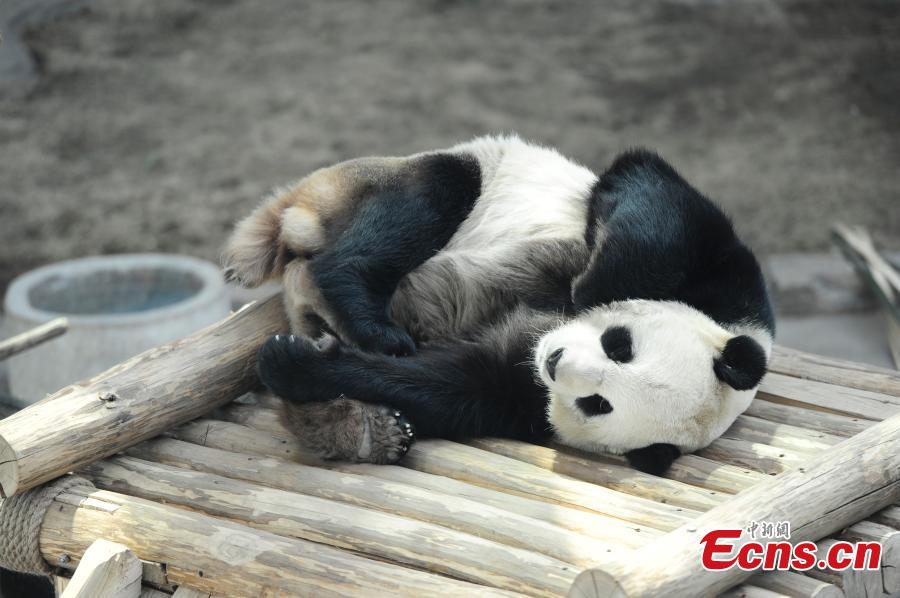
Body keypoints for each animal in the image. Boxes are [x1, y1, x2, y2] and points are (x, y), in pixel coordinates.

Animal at [223, 135, 775, 475]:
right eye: (621, 346)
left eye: (599, 403)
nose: (555, 360)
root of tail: (298, 214)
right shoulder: (733, 289)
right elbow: (653, 198)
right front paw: (589, 285)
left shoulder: (524, 399)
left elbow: (452, 386)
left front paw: (299, 366)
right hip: (389, 178)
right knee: (437, 191)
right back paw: (365, 317)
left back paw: (361, 428)